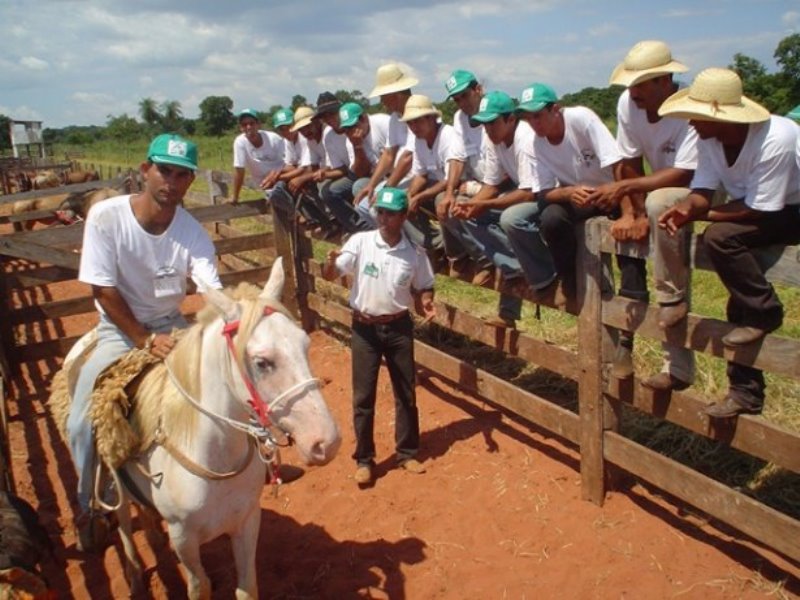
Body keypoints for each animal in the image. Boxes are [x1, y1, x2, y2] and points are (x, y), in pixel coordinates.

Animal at [78, 258, 338, 600]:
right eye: (262, 362)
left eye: (305, 344)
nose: (327, 442)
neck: (215, 460)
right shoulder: (184, 541)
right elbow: (199, 586)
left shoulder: (247, 522)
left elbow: (246, 587)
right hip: (113, 489)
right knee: (125, 532)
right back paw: (134, 579)